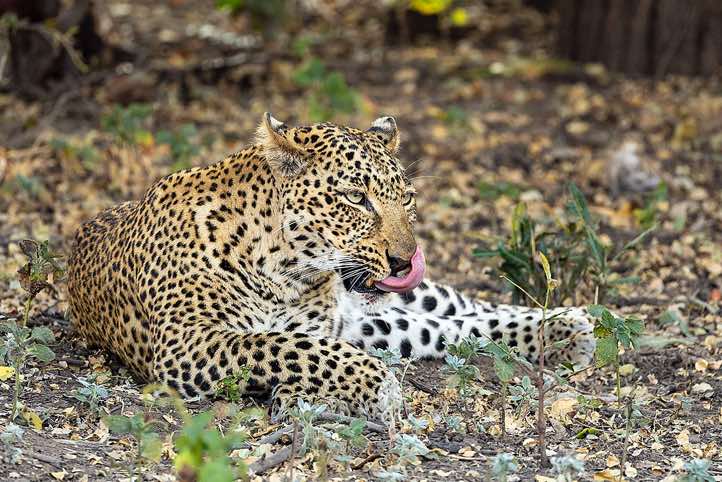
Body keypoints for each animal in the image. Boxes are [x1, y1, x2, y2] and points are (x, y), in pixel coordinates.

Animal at [67, 113, 595, 424]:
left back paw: (567, 325)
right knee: (446, 325)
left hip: (395, 301)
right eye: (355, 198)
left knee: (460, 309)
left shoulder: (323, 324)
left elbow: (297, 345)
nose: (405, 260)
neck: (284, 268)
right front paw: (372, 387)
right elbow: (287, 346)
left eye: (406, 198)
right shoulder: (188, 343)